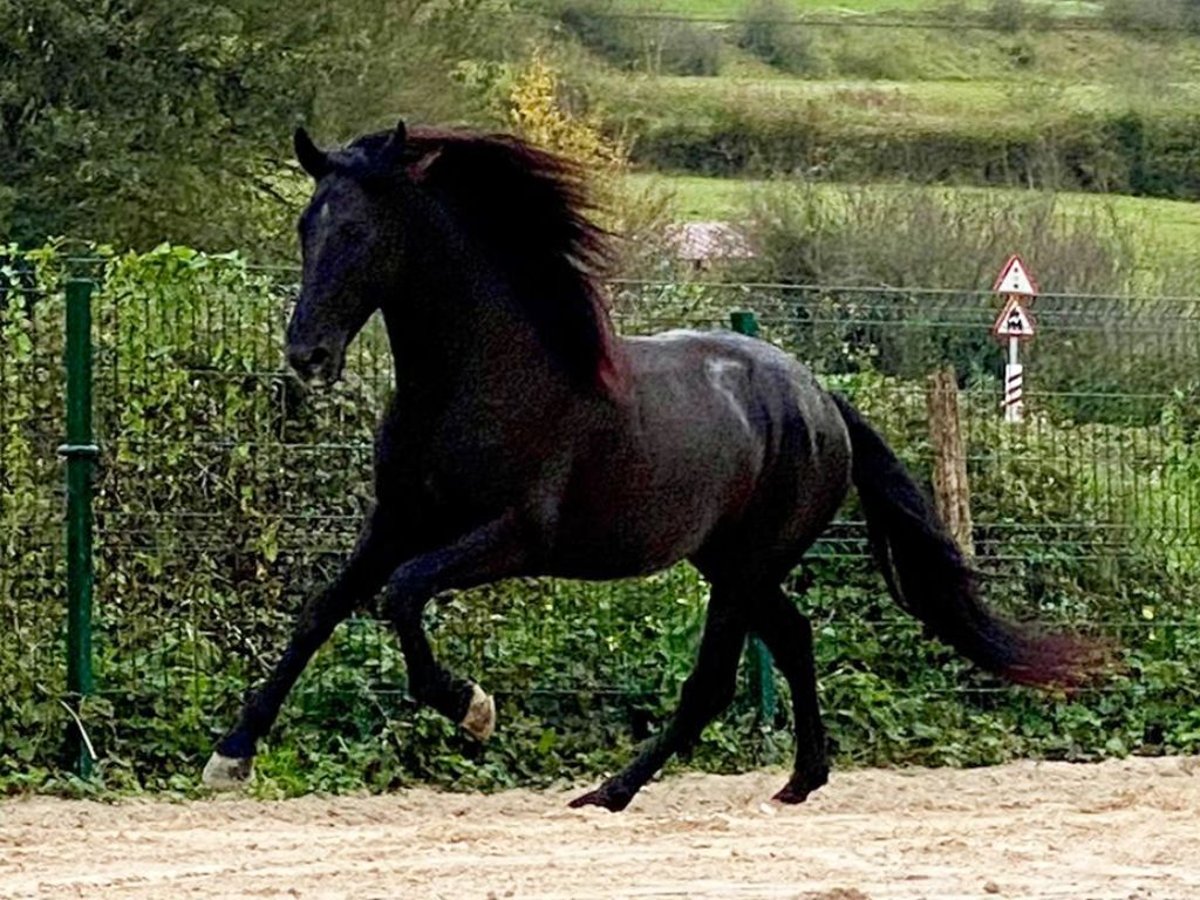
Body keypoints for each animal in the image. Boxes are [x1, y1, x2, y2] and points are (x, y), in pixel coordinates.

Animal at [201, 121, 1099, 811]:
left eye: (358, 231)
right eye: (306, 227)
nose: (307, 356)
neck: (477, 381)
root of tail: (818, 396)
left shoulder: (511, 539)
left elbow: (401, 596)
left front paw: (472, 708)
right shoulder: (396, 521)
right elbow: (322, 610)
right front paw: (231, 752)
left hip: (746, 564)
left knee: (714, 681)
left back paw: (612, 791)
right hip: (731, 561)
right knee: (793, 636)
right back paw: (799, 781)